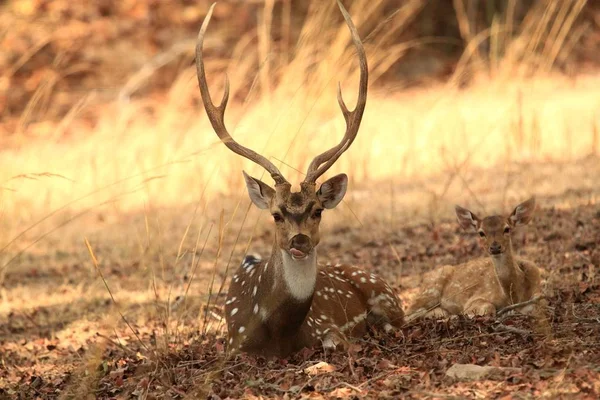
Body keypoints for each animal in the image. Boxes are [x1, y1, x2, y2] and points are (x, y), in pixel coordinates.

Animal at [196, 0, 404, 356]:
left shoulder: (326, 325)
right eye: (276, 215)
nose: (300, 241)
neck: (280, 333)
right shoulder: (235, 345)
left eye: (317, 210)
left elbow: (339, 344)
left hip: (384, 291)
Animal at [408, 198, 544, 320]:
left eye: (507, 229)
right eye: (481, 233)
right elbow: (487, 307)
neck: (514, 297)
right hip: (430, 290)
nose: (495, 247)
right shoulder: (476, 298)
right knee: (410, 314)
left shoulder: (538, 292)